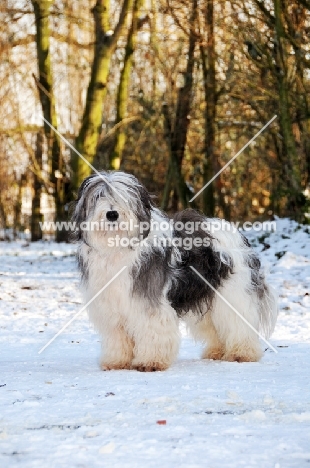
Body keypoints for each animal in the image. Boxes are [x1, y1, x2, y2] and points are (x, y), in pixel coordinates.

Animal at [71, 170, 278, 372]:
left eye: (123, 197)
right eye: (98, 196)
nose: (112, 214)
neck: (117, 247)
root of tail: (236, 234)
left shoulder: (149, 304)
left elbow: (153, 330)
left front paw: (151, 362)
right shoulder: (111, 307)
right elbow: (117, 336)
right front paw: (116, 362)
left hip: (232, 294)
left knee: (239, 323)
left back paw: (242, 353)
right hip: (205, 296)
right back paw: (216, 351)